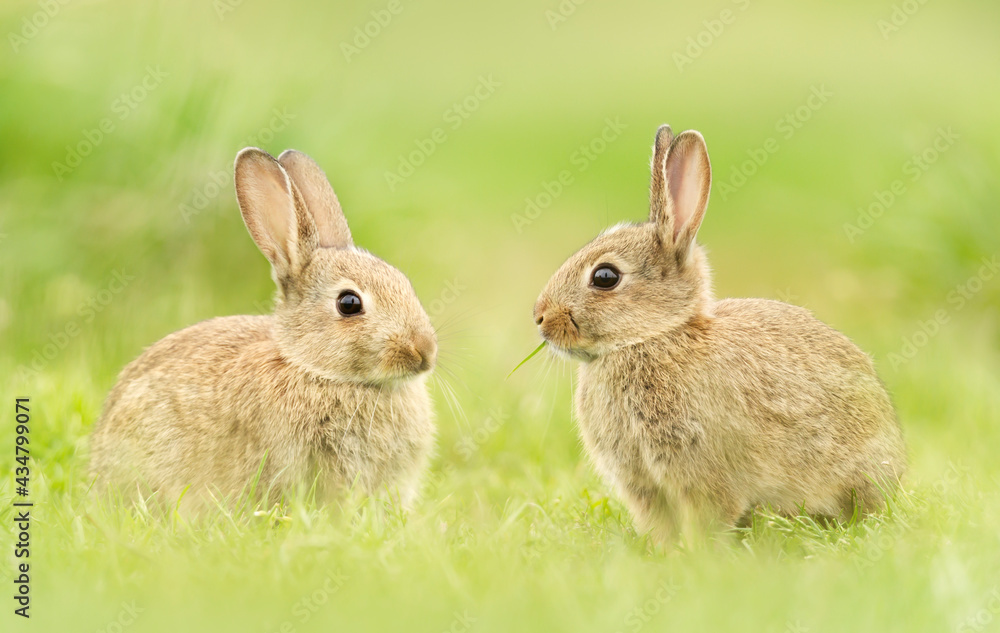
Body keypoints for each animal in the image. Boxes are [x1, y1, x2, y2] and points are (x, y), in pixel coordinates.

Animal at [532, 125, 905, 542]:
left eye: (605, 277)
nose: (540, 317)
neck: (654, 336)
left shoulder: (703, 473)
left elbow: (707, 517)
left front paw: (698, 553)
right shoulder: (643, 486)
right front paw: (664, 550)